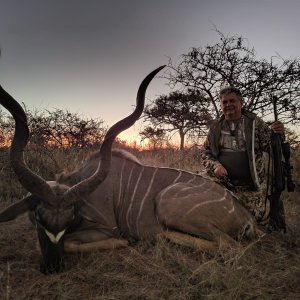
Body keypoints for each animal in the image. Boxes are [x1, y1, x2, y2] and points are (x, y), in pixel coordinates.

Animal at [0, 66, 258, 274]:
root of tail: (245, 216)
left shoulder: (105, 229)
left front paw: (125, 242)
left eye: (69, 218)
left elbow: (72, 243)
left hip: (166, 203)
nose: (52, 267)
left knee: (228, 246)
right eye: (38, 217)